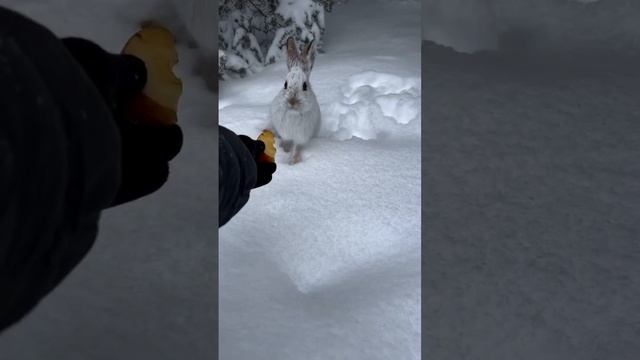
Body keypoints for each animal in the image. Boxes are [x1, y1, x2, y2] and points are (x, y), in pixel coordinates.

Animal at [268, 35, 322, 165]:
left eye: (305, 86)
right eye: (285, 84)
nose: (292, 102)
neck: (293, 113)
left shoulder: (301, 137)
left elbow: (297, 148)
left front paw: (294, 162)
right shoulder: (285, 133)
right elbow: (286, 142)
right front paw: (284, 150)